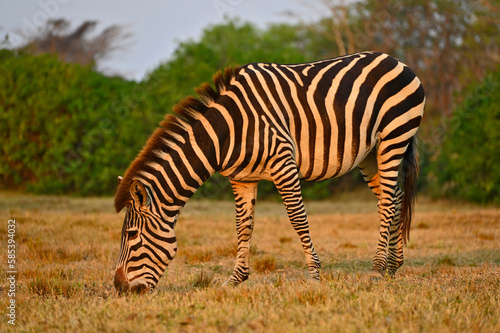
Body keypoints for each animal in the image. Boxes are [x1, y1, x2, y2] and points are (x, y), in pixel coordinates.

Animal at [114, 50, 426, 292]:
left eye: (131, 235)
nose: (118, 289)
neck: (227, 132)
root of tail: (396, 60)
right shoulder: (241, 178)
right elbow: (243, 226)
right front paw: (235, 279)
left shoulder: (283, 164)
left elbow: (297, 218)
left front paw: (315, 276)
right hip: (370, 154)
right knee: (395, 196)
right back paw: (393, 266)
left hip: (394, 137)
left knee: (387, 202)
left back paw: (377, 269)